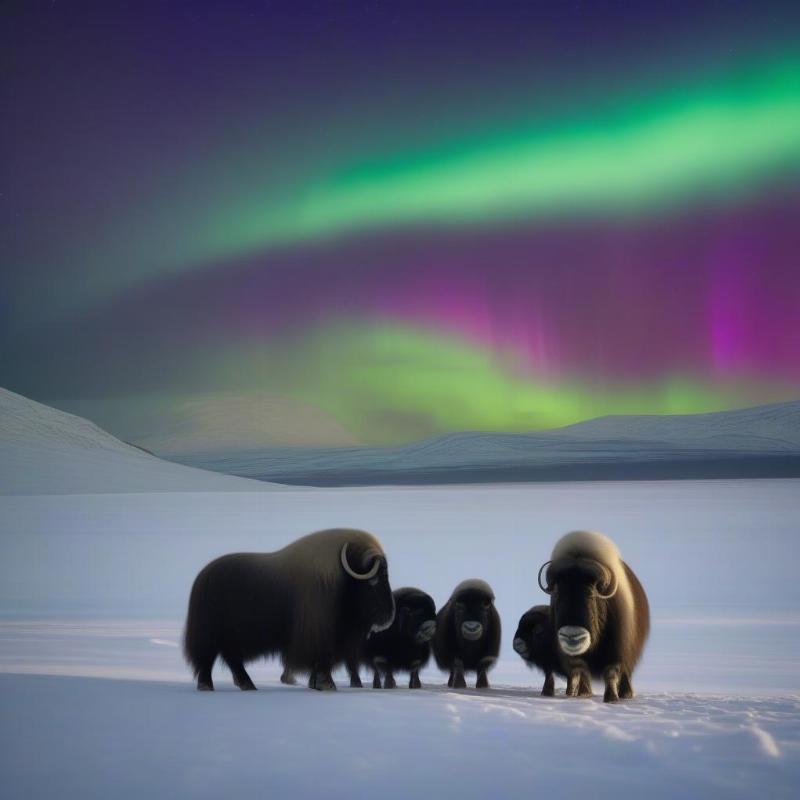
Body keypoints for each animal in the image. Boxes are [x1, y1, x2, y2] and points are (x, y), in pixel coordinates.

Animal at [182, 528, 394, 692]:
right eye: (374, 580)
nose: (388, 618)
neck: (342, 580)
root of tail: (201, 577)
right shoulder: (321, 635)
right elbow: (322, 661)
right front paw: (326, 685)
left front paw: (315, 684)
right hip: (210, 635)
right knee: (208, 659)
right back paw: (208, 686)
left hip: (229, 639)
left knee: (232, 659)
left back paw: (247, 685)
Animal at [536, 536, 648, 704]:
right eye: (558, 594)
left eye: (590, 594)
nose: (571, 635)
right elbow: (579, 670)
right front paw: (581, 694)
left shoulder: (615, 649)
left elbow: (611, 672)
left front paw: (611, 699)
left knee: (625, 672)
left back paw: (626, 694)